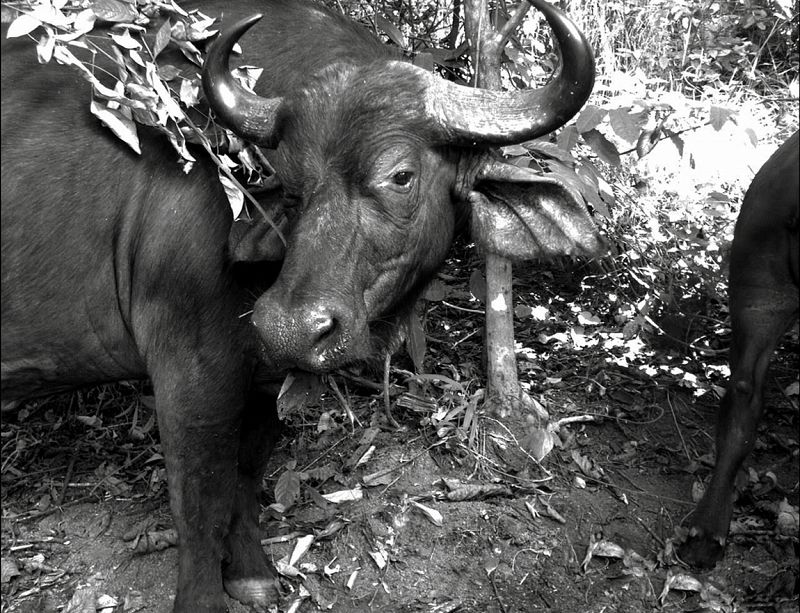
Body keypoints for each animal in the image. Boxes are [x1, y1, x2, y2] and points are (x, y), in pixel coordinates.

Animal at [1, 0, 599, 610]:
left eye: (400, 176)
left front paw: (250, 572)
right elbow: (199, 503)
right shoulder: (188, 372)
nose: (289, 329)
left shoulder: (260, 375)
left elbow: (244, 475)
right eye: (289, 187)